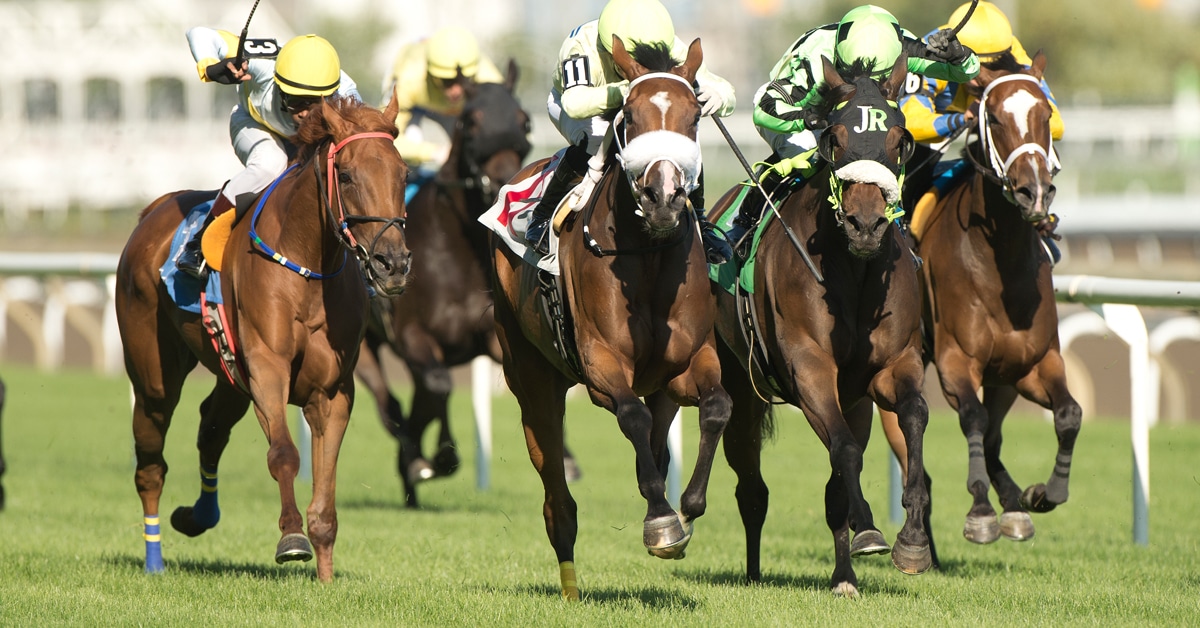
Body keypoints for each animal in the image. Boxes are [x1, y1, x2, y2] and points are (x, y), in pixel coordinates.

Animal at [115, 95, 410, 582]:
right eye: (347, 175)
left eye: (403, 174)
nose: (394, 264)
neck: (308, 265)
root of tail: (153, 209)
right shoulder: (268, 369)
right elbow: (284, 454)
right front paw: (292, 538)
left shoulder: (331, 390)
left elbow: (326, 479)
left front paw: (325, 574)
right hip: (154, 373)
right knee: (150, 461)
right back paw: (154, 559)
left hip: (230, 375)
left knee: (211, 429)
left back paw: (197, 516)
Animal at [354, 64, 536, 508]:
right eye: (470, 122)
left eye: (524, 121)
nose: (505, 185)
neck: (459, 252)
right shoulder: (412, 336)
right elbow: (437, 387)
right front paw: (437, 456)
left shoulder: (487, 337)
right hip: (363, 346)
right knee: (390, 407)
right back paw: (414, 461)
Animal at [490, 37, 730, 601]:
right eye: (631, 117)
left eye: (694, 117)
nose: (664, 197)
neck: (649, 254)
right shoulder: (601, 365)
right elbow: (632, 417)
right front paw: (662, 524)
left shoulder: (690, 359)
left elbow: (716, 408)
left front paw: (687, 508)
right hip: (531, 377)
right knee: (557, 494)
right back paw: (571, 585)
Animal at [710, 55, 931, 597]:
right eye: (835, 137)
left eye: (900, 139)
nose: (866, 225)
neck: (854, 273)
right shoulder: (809, 368)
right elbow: (845, 453)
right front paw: (870, 527)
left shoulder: (890, 368)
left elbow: (914, 416)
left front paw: (911, 539)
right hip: (739, 380)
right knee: (750, 482)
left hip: (853, 400)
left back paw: (842, 575)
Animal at [889, 50, 1080, 551]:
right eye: (992, 117)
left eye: (1046, 114)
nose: (1034, 191)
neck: (1001, 270)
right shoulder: (956, 361)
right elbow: (972, 419)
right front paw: (980, 511)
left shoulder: (1034, 363)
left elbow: (1068, 414)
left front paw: (1043, 494)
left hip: (1005, 377)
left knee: (994, 438)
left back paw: (1013, 504)